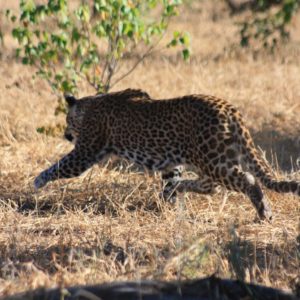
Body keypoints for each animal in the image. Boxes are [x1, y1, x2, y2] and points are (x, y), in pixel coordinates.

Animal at [33, 88, 300, 220]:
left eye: (67, 121)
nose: (66, 135)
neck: (90, 106)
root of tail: (229, 108)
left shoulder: (86, 152)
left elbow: (61, 166)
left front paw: (37, 181)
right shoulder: (172, 162)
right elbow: (171, 177)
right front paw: (167, 198)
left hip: (214, 159)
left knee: (247, 180)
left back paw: (264, 213)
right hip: (211, 157)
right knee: (210, 186)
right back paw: (178, 189)